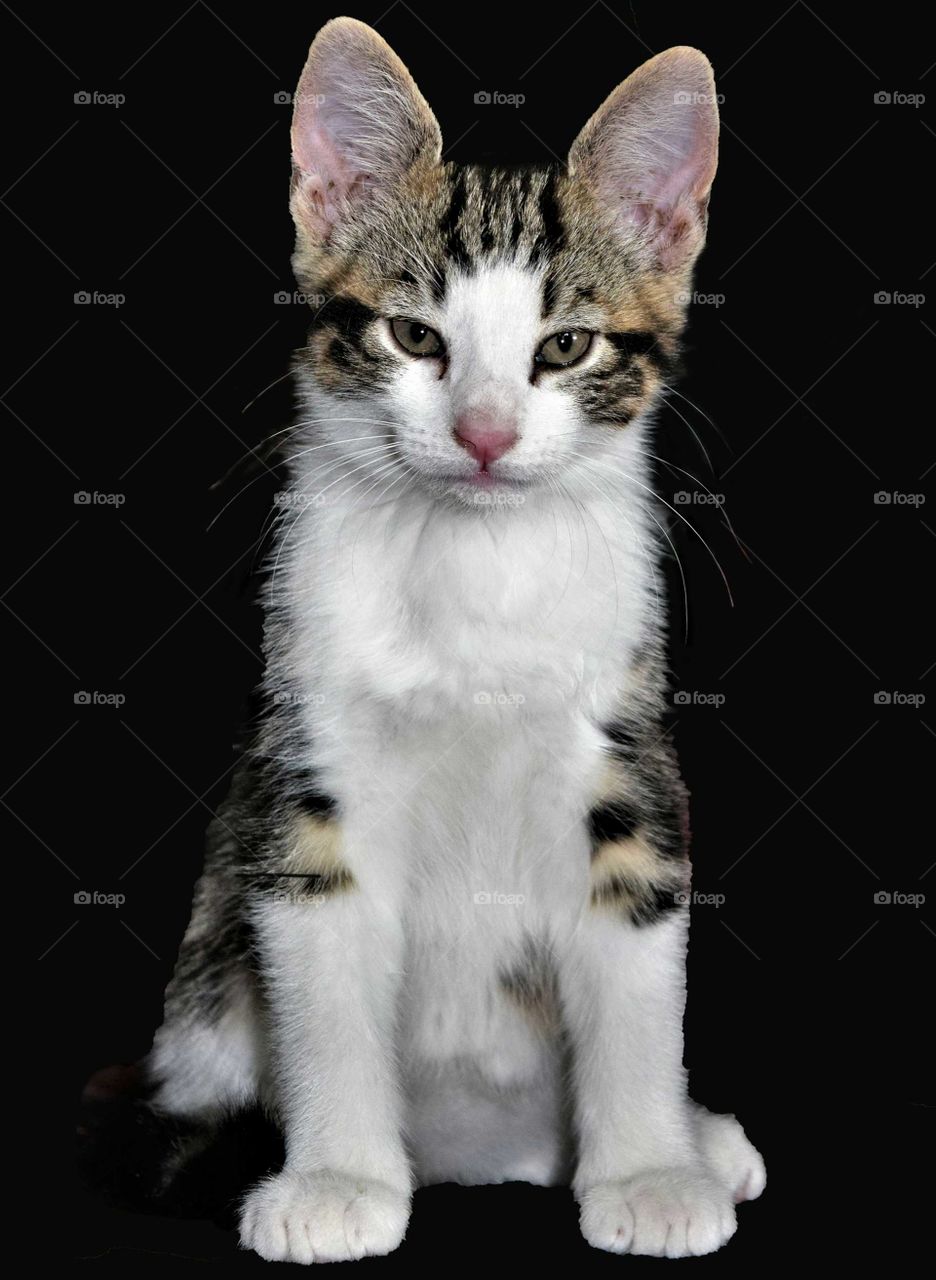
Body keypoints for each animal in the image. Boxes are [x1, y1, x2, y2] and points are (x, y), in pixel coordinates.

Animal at [142, 17, 763, 1259]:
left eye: (566, 346)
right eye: (414, 335)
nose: (483, 432)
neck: (475, 571)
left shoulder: (627, 747)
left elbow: (637, 946)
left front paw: (649, 1170)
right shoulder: (306, 751)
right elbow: (322, 954)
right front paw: (337, 1176)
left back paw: (696, 1136)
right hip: (203, 981)